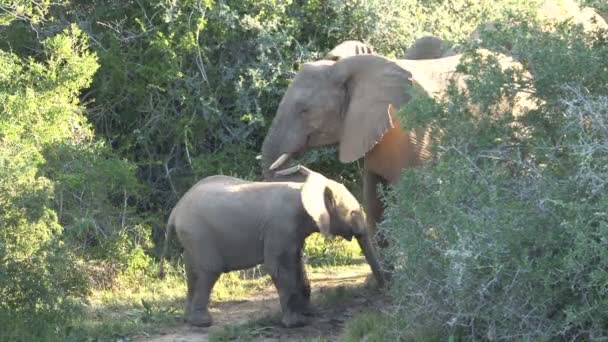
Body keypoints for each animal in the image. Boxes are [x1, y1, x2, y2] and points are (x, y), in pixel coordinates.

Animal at [158, 166, 384, 328]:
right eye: (353, 213)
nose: (380, 287)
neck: (306, 190)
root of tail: (175, 211)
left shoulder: (292, 231)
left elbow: (296, 263)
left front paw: (308, 314)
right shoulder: (281, 227)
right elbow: (279, 267)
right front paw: (297, 323)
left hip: (191, 237)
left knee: (192, 271)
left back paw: (189, 319)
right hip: (198, 234)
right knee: (208, 270)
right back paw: (202, 323)